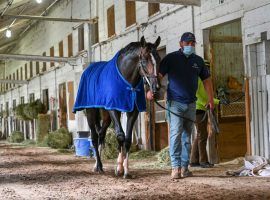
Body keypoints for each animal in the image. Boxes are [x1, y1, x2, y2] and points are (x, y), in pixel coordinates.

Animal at [73, 36, 160, 178]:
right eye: (144, 60)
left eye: (158, 59)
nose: (156, 87)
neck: (126, 79)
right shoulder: (114, 109)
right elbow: (120, 135)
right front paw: (119, 168)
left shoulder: (132, 111)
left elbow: (128, 139)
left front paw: (126, 170)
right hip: (91, 112)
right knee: (94, 137)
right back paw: (98, 166)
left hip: (106, 115)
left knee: (101, 134)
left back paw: (97, 164)